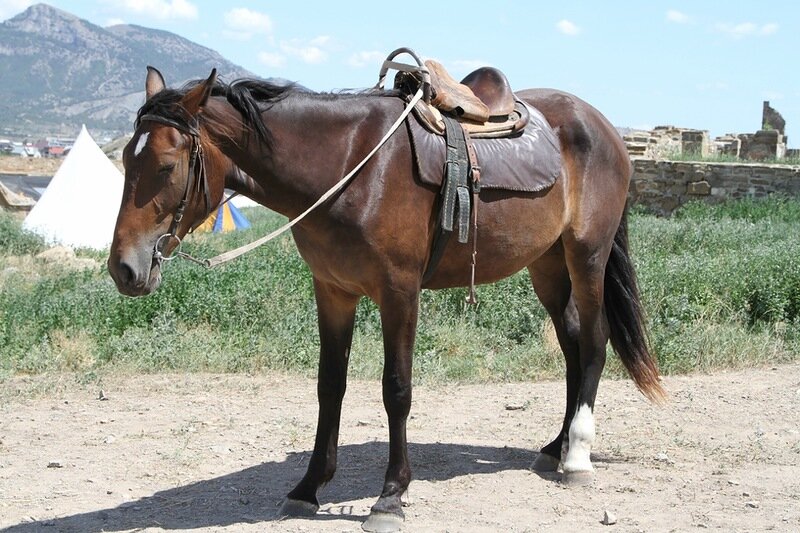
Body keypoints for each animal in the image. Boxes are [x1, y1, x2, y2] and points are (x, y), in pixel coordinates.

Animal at [109, 64, 664, 528]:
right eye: (125, 161)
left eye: (165, 166)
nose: (123, 268)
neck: (348, 165)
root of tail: (605, 127)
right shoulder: (333, 291)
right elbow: (329, 386)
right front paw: (309, 487)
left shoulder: (399, 292)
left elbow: (396, 390)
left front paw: (391, 496)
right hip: (546, 263)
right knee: (571, 343)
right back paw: (555, 446)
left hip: (586, 254)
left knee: (593, 342)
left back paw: (577, 456)